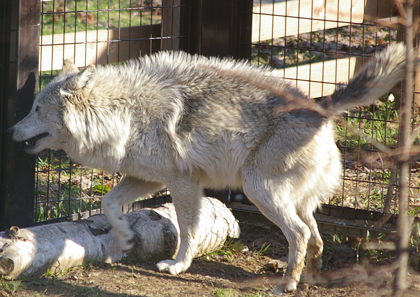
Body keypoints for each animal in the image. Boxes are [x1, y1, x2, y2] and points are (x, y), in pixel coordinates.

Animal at [8, 44, 412, 294]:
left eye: (37, 110)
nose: (11, 131)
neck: (124, 114)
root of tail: (320, 106)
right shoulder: (145, 178)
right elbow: (109, 204)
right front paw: (125, 239)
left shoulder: (183, 182)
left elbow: (188, 230)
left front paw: (178, 265)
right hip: (296, 201)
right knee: (315, 238)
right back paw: (307, 280)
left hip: (259, 192)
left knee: (298, 235)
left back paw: (286, 284)